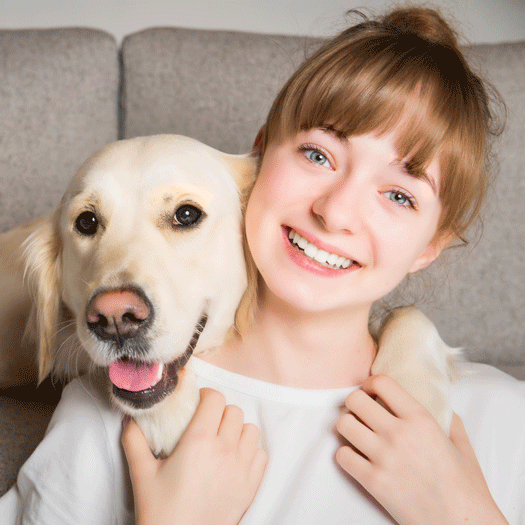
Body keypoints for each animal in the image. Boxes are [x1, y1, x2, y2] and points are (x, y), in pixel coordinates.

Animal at [0, 133, 458, 456]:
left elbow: (407, 314)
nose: (114, 319)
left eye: (186, 214)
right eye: (86, 222)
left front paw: (413, 395)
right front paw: (175, 423)